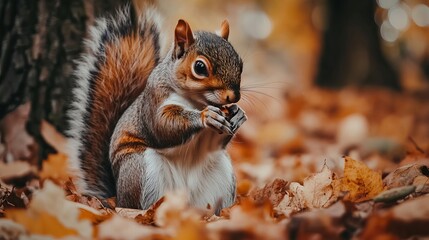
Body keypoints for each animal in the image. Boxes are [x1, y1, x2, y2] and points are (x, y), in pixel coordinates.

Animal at [66, 3, 247, 214]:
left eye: (240, 63)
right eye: (200, 67)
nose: (233, 97)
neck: (197, 101)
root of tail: (116, 196)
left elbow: (215, 143)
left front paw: (238, 114)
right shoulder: (154, 100)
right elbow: (161, 127)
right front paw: (205, 117)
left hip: (220, 174)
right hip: (140, 168)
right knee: (139, 206)